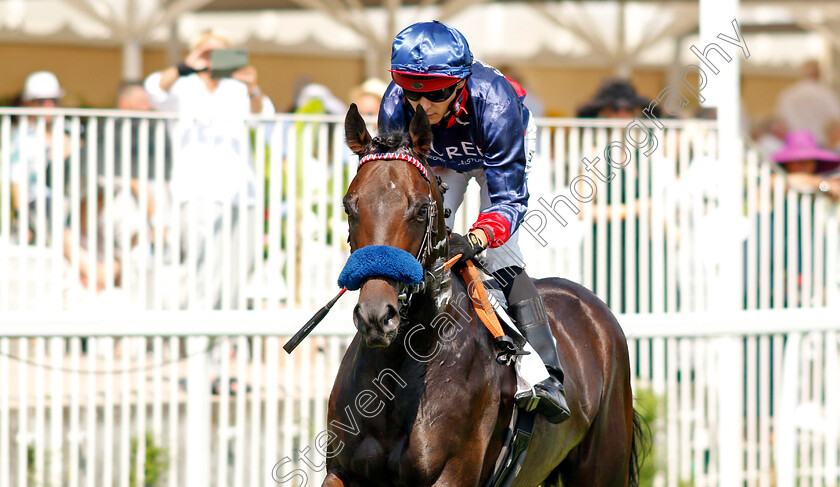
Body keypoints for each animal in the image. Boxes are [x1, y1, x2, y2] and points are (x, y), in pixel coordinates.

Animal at [322, 105, 644, 486]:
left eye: (420, 210)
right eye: (349, 207)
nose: (376, 316)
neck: (399, 366)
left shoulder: (453, 473)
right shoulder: (341, 471)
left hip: (603, 464)